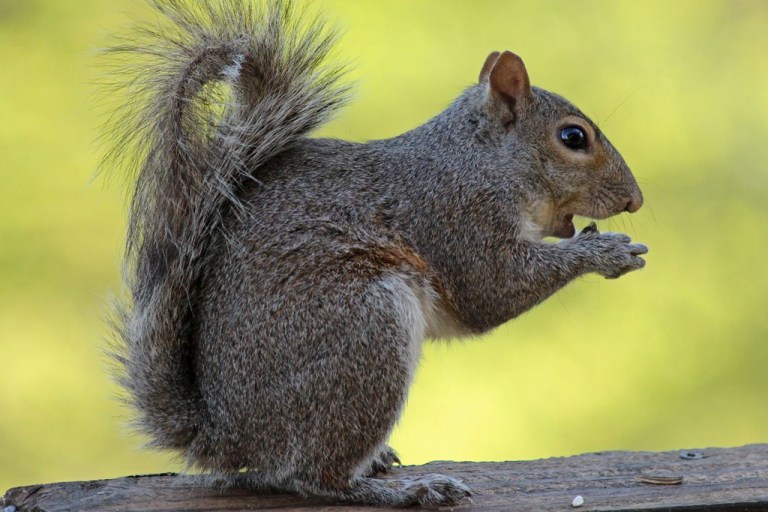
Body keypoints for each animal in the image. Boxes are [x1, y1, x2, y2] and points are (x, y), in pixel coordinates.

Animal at [102, 0, 647, 507]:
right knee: (311, 476)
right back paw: (405, 490)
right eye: (573, 137)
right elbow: (493, 289)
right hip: (364, 330)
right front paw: (605, 251)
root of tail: (227, 434)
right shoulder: (454, 217)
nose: (635, 201)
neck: (482, 162)